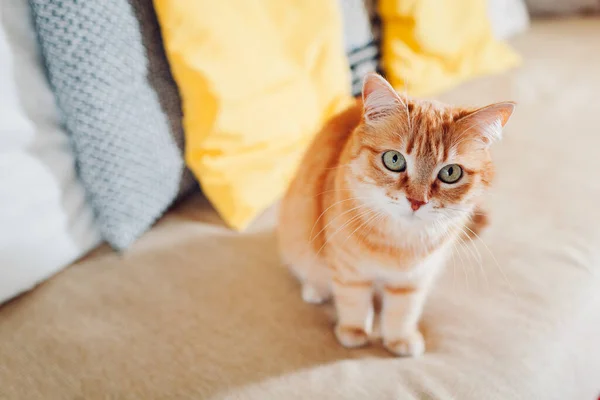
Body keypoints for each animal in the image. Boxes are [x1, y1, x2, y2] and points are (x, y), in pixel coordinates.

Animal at [278, 72, 512, 356]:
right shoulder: (349, 270)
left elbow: (403, 311)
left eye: (450, 172)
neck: (398, 242)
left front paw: (399, 339)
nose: (417, 201)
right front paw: (354, 332)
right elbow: (353, 301)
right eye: (394, 160)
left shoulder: (414, 279)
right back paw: (315, 289)